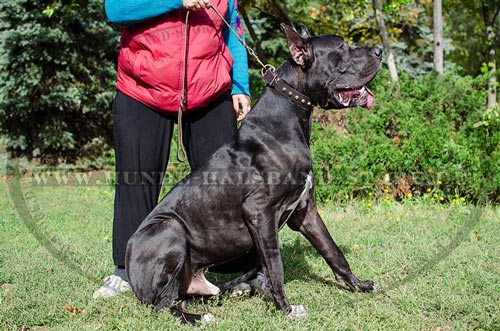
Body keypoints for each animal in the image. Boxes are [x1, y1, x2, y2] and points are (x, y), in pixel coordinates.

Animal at [126, 24, 382, 326]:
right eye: (341, 48)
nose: (379, 50)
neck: (290, 114)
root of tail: (133, 280)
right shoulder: (259, 212)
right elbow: (276, 265)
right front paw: (286, 309)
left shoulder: (305, 212)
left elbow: (333, 252)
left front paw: (359, 285)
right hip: (171, 228)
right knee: (162, 306)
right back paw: (201, 317)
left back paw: (236, 290)